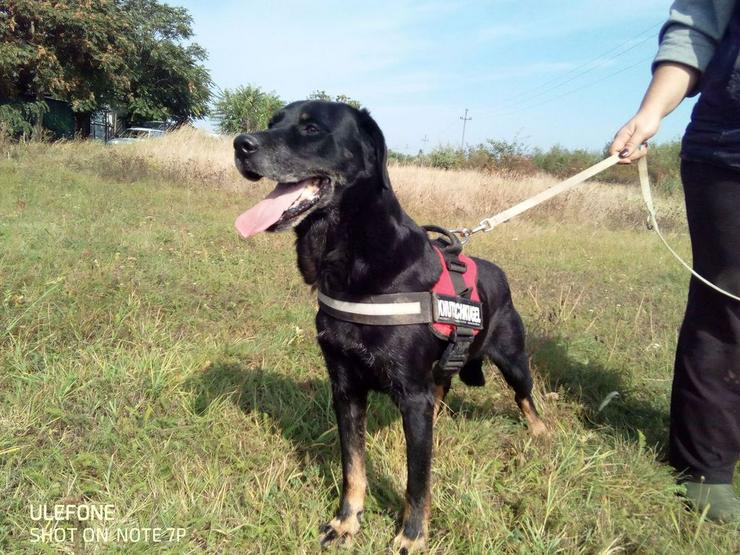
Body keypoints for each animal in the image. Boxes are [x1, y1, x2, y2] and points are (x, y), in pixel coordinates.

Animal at [234, 101, 548, 552]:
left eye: (311, 129)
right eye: (273, 122)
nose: (241, 145)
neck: (352, 258)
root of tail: (499, 274)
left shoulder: (412, 397)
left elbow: (417, 481)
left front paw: (412, 536)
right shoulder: (345, 387)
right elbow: (353, 467)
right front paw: (346, 522)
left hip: (513, 359)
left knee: (526, 397)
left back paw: (541, 433)